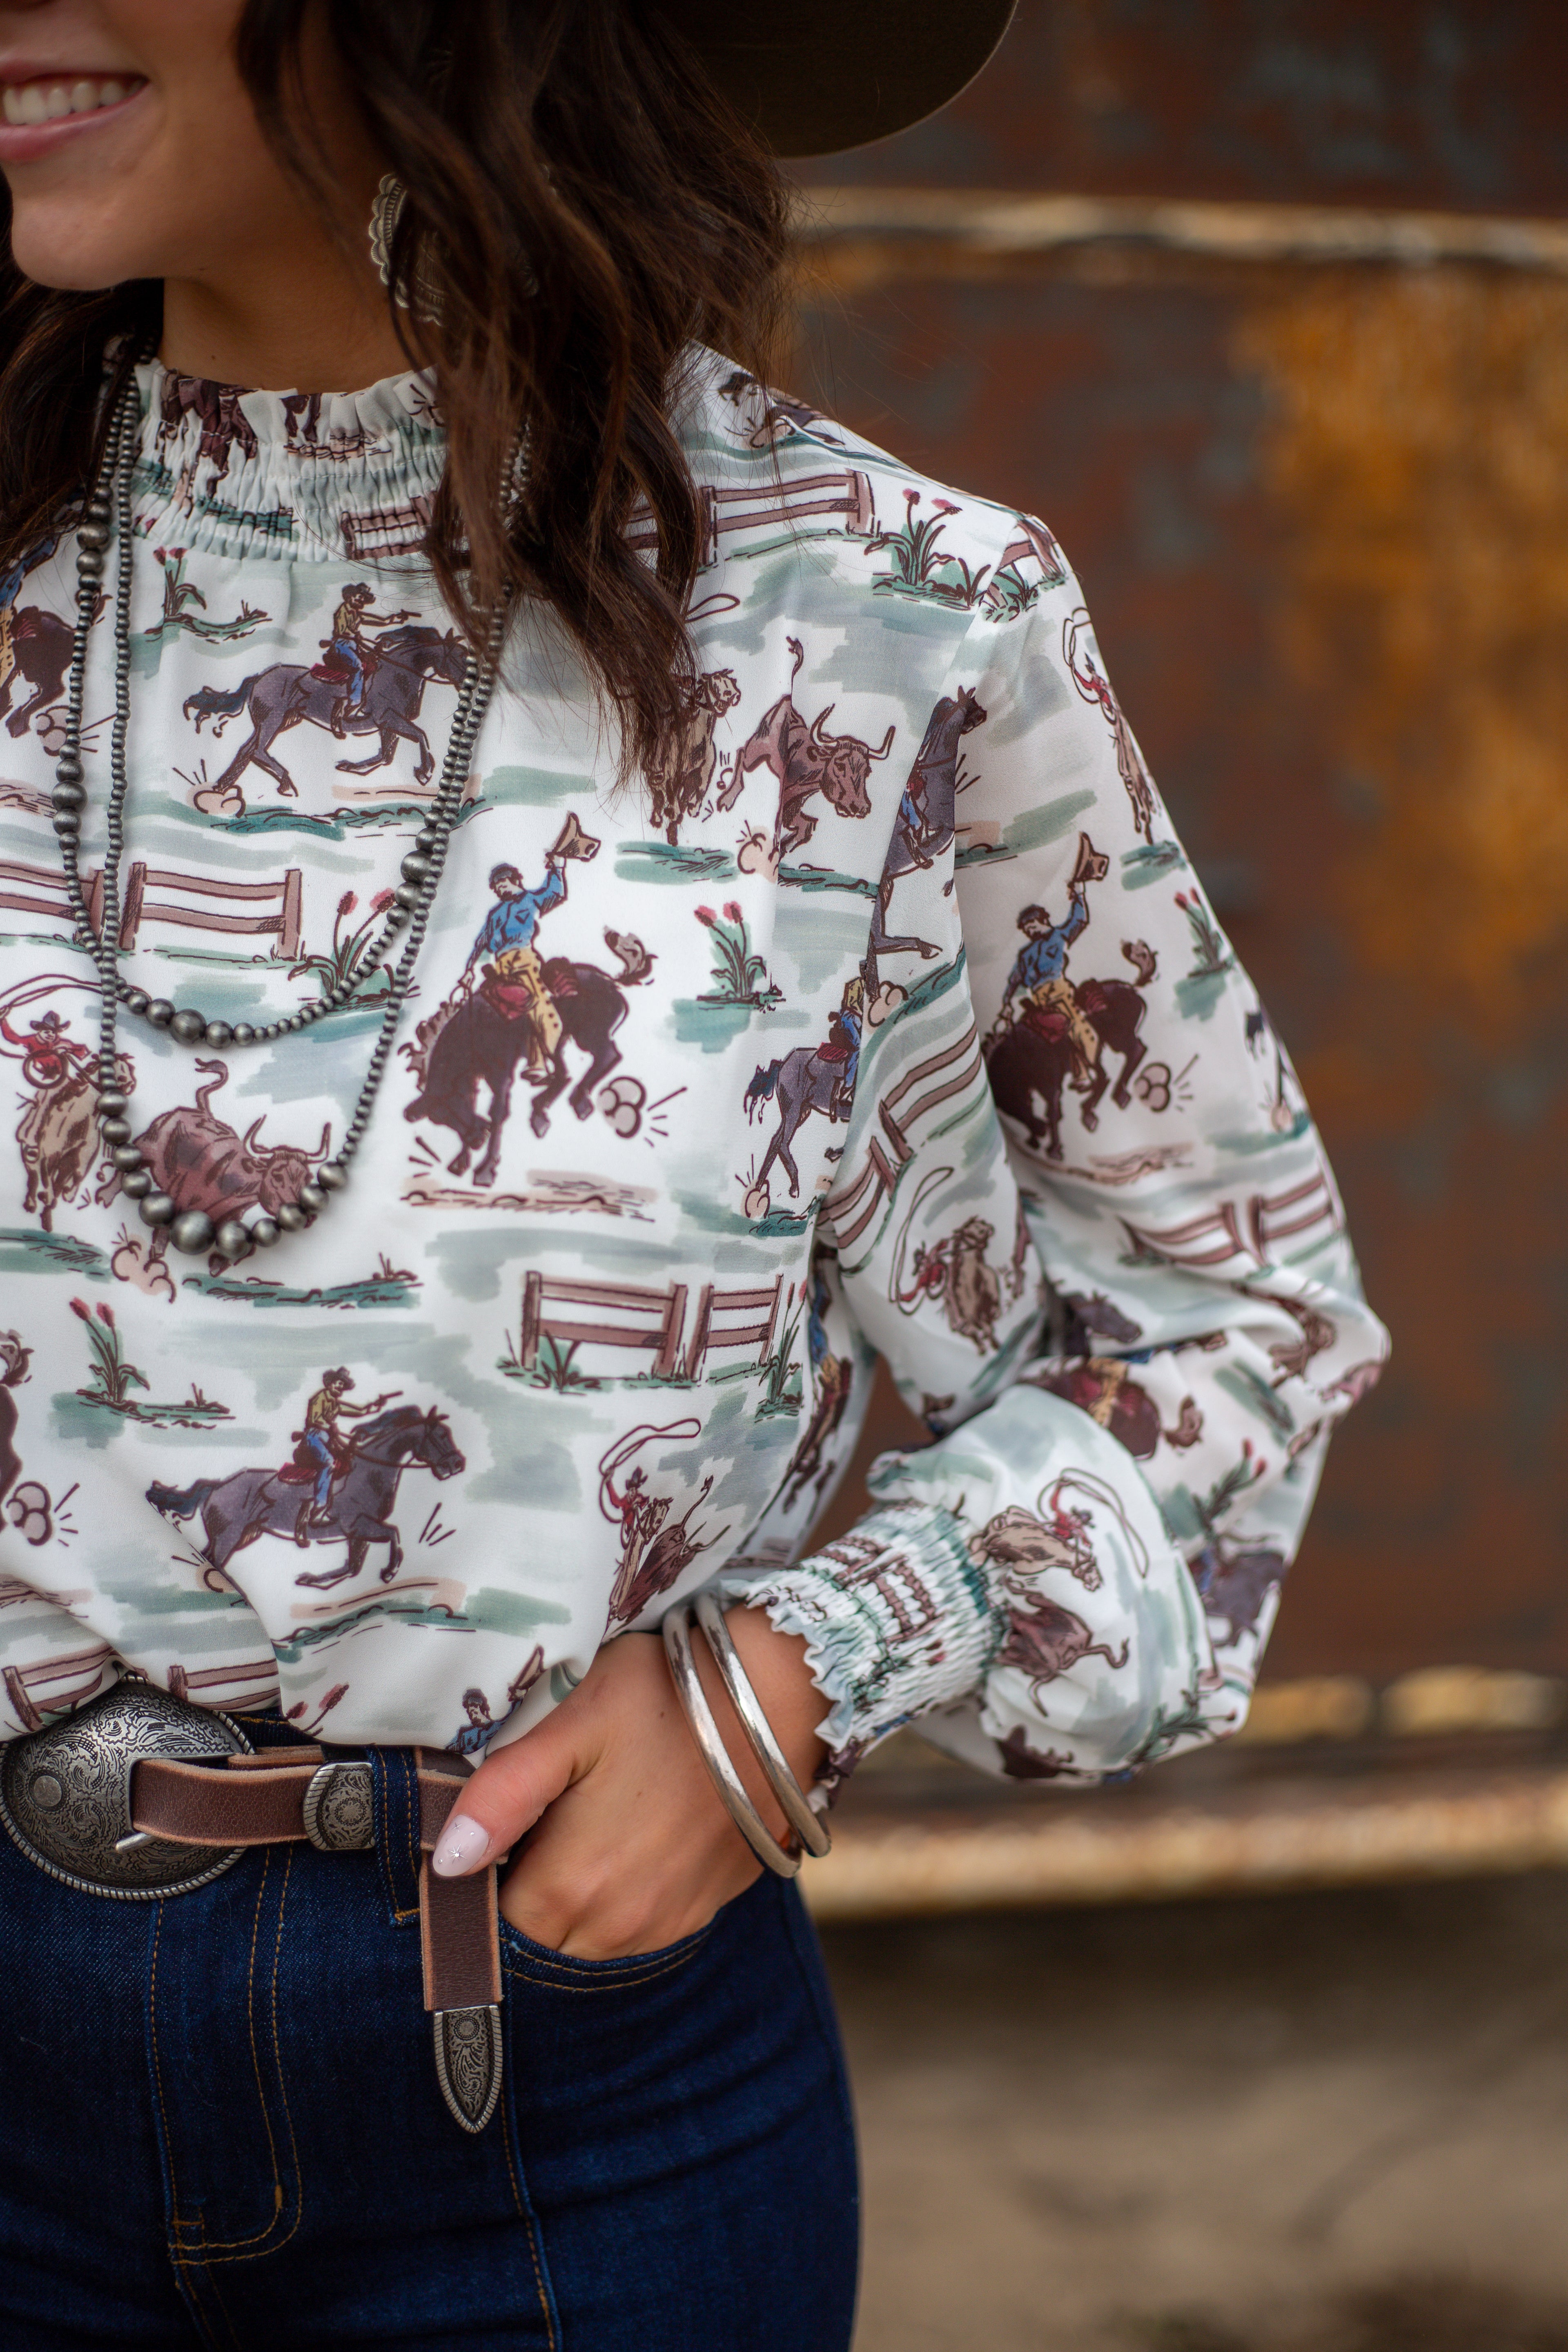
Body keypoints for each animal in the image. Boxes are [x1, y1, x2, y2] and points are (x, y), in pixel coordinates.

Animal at [145, 1404, 465, 1590]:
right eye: (440, 1436)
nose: (458, 1465)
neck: (369, 1473)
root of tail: (217, 1486)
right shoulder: (357, 1525)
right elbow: (394, 1534)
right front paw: (388, 1572)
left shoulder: (356, 1534)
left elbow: (353, 1567)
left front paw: (310, 1580)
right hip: (229, 1537)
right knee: (214, 1561)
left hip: (249, 1534)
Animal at [181, 624, 467, 799]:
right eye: (459, 657)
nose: (465, 684)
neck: (399, 673)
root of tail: (260, 678)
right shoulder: (388, 718)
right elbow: (420, 736)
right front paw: (425, 772)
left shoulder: (387, 724)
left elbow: (385, 756)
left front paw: (349, 766)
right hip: (273, 720)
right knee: (259, 751)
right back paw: (286, 784)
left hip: (283, 721)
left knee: (247, 750)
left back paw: (222, 787)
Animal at [404, 960, 630, 1186]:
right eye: (438, 1120)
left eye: (455, 1110)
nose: (477, 1139)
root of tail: (610, 983)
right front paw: (462, 1160)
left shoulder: (501, 1074)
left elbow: (498, 1113)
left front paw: (486, 1169)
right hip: (559, 1041)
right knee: (565, 1074)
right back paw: (542, 1112)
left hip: (587, 1034)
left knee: (608, 1056)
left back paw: (578, 1100)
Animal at [716, 637, 894, 859]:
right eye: (840, 765)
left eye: (868, 771)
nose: (861, 807)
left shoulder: (793, 808)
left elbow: (808, 826)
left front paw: (784, 849)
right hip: (757, 749)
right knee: (741, 756)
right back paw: (727, 799)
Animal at [984, 942, 1156, 1162]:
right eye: (1004, 1107)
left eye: (1012, 1097)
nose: (1038, 1132)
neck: (1021, 1052)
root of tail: (1129, 987)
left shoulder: (1050, 1084)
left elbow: (1053, 1113)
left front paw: (1055, 1149)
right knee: (1114, 1069)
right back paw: (1099, 1107)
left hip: (1116, 1039)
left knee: (1132, 1055)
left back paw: (1108, 1101)